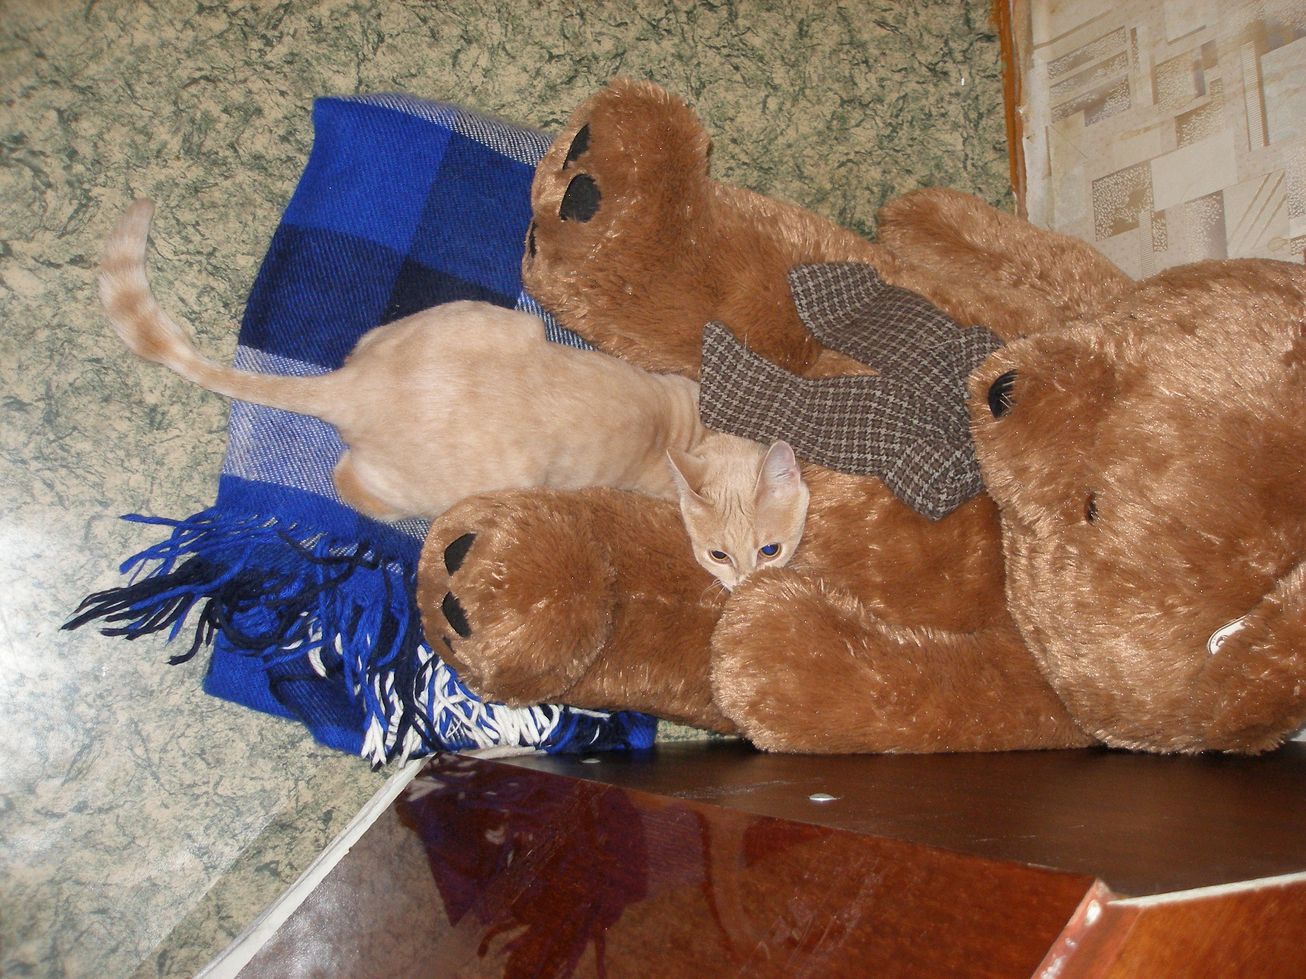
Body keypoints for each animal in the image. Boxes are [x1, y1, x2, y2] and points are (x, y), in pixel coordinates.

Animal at [99, 199, 810, 589]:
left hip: (483, 322)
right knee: (348, 484)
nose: (749, 579)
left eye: (769, 549)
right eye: (721, 554)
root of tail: (357, 389)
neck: (697, 429)